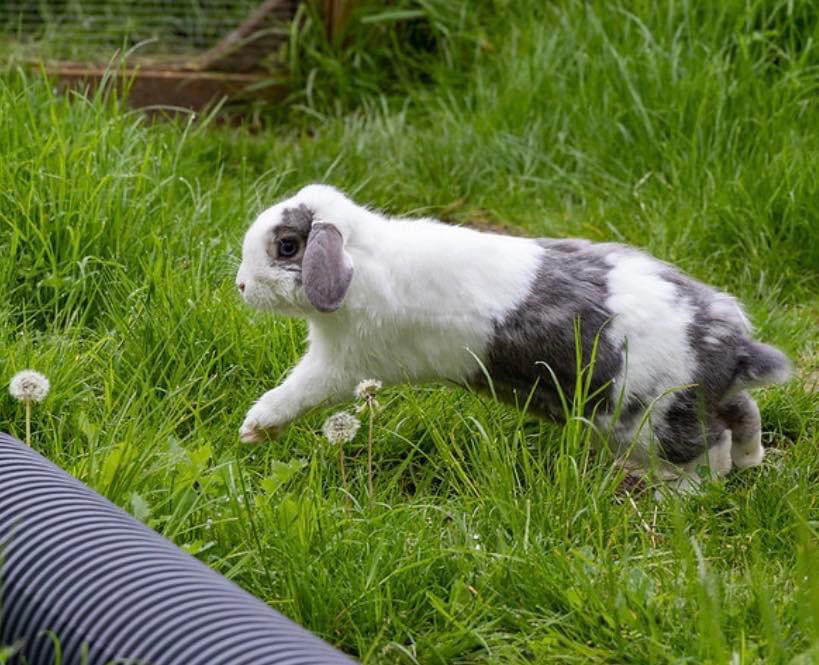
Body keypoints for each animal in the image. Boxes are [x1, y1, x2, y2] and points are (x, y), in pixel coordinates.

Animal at [235, 184, 791, 485]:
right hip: (705, 400)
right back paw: (750, 462)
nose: (241, 285)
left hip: (653, 421)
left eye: (287, 247)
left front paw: (253, 429)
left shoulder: (337, 365)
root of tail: (733, 345)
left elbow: (292, 394)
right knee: (743, 414)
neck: (362, 262)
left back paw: (682, 492)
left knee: (707, 443)